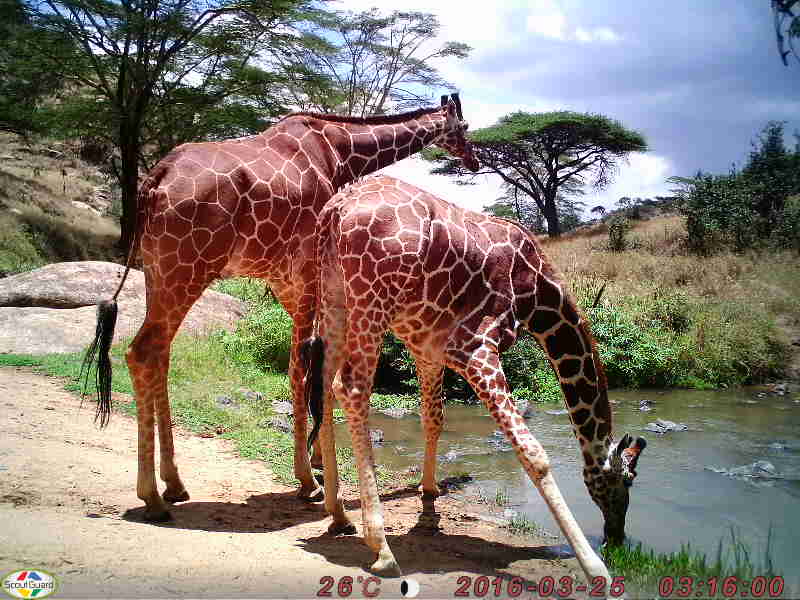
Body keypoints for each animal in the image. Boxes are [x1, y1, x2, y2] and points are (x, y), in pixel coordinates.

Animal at [81, 96, 479, 523]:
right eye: (464, 127)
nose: (473, 161)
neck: (340, 153)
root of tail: (154, 180)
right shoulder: (308, 277)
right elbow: (302, 369)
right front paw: (309, 479)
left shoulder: (289, 284)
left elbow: (315, 367)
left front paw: (318, 462)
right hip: (187, 269)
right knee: (142, 352)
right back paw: (152, 497)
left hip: (155, 271)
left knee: (160, 353)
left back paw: (174, 483)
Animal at [301, 175, 647, 584]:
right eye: (627, 480)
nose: (616, 535)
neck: (536, 291)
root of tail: (336, 208)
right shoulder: (477, 347)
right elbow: (533, 454)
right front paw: (595, 568)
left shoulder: (429, 348)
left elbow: (434, 420)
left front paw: (429, 497)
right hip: (371, 300)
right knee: (351, 387)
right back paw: (382, 547)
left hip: (335, 295)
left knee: (324, 387)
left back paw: (338, 514)